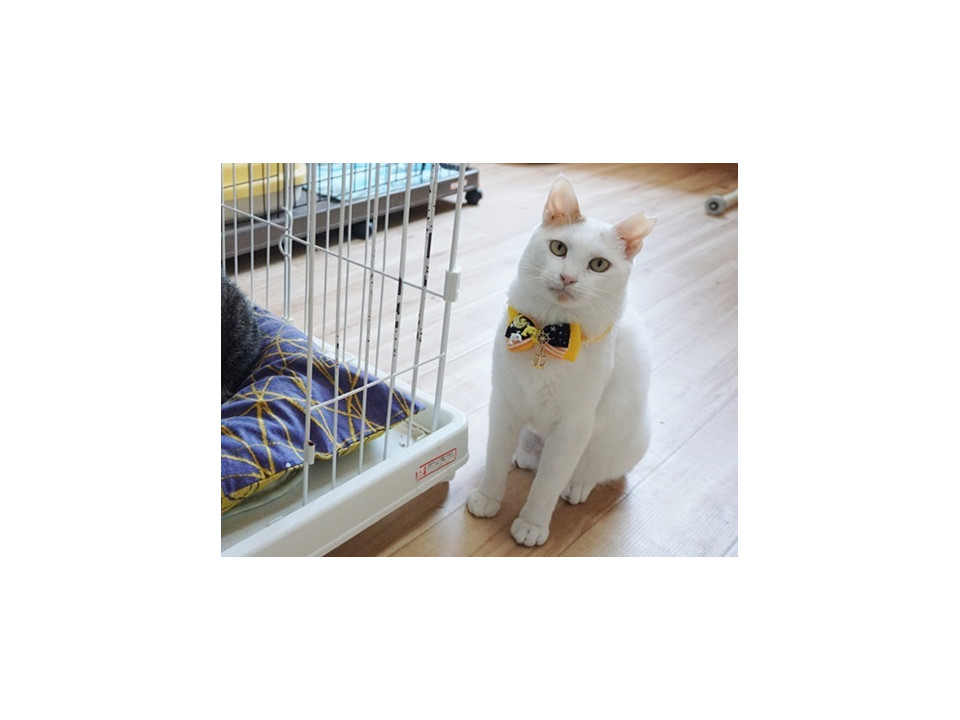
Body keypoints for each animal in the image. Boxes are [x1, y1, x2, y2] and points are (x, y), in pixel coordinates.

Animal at [466, 175, 656, 546]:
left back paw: (577, 485)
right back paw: (524, 456)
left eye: (599, 265)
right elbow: (495, 457)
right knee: (529, 456)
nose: (568, 277)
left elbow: (547, 484)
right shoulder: (504, 403)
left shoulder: (573, 427)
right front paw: (487, 498)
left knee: (595, 469)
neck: (546, 334)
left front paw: (532, 524)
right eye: (558, 248)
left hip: (626, 437)